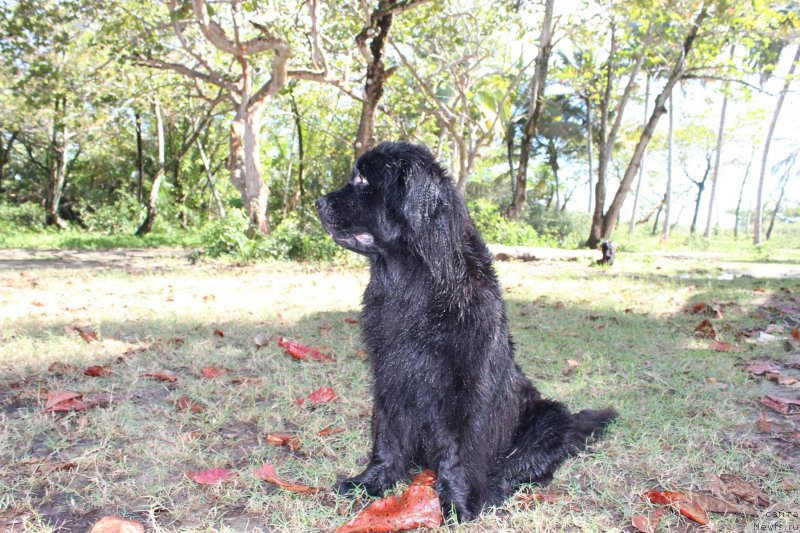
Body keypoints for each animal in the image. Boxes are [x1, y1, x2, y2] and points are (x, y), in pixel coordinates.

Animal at [316, 141, 616, 520]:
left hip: (548, 418)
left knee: (522, 464)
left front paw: (458, 504)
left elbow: (457, 450)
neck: (417, 284)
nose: (318, 202)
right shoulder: (390, 377)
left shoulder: (463, 389)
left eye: (363, 180)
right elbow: (387, 435)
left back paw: (494, 488)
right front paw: (371, 481)